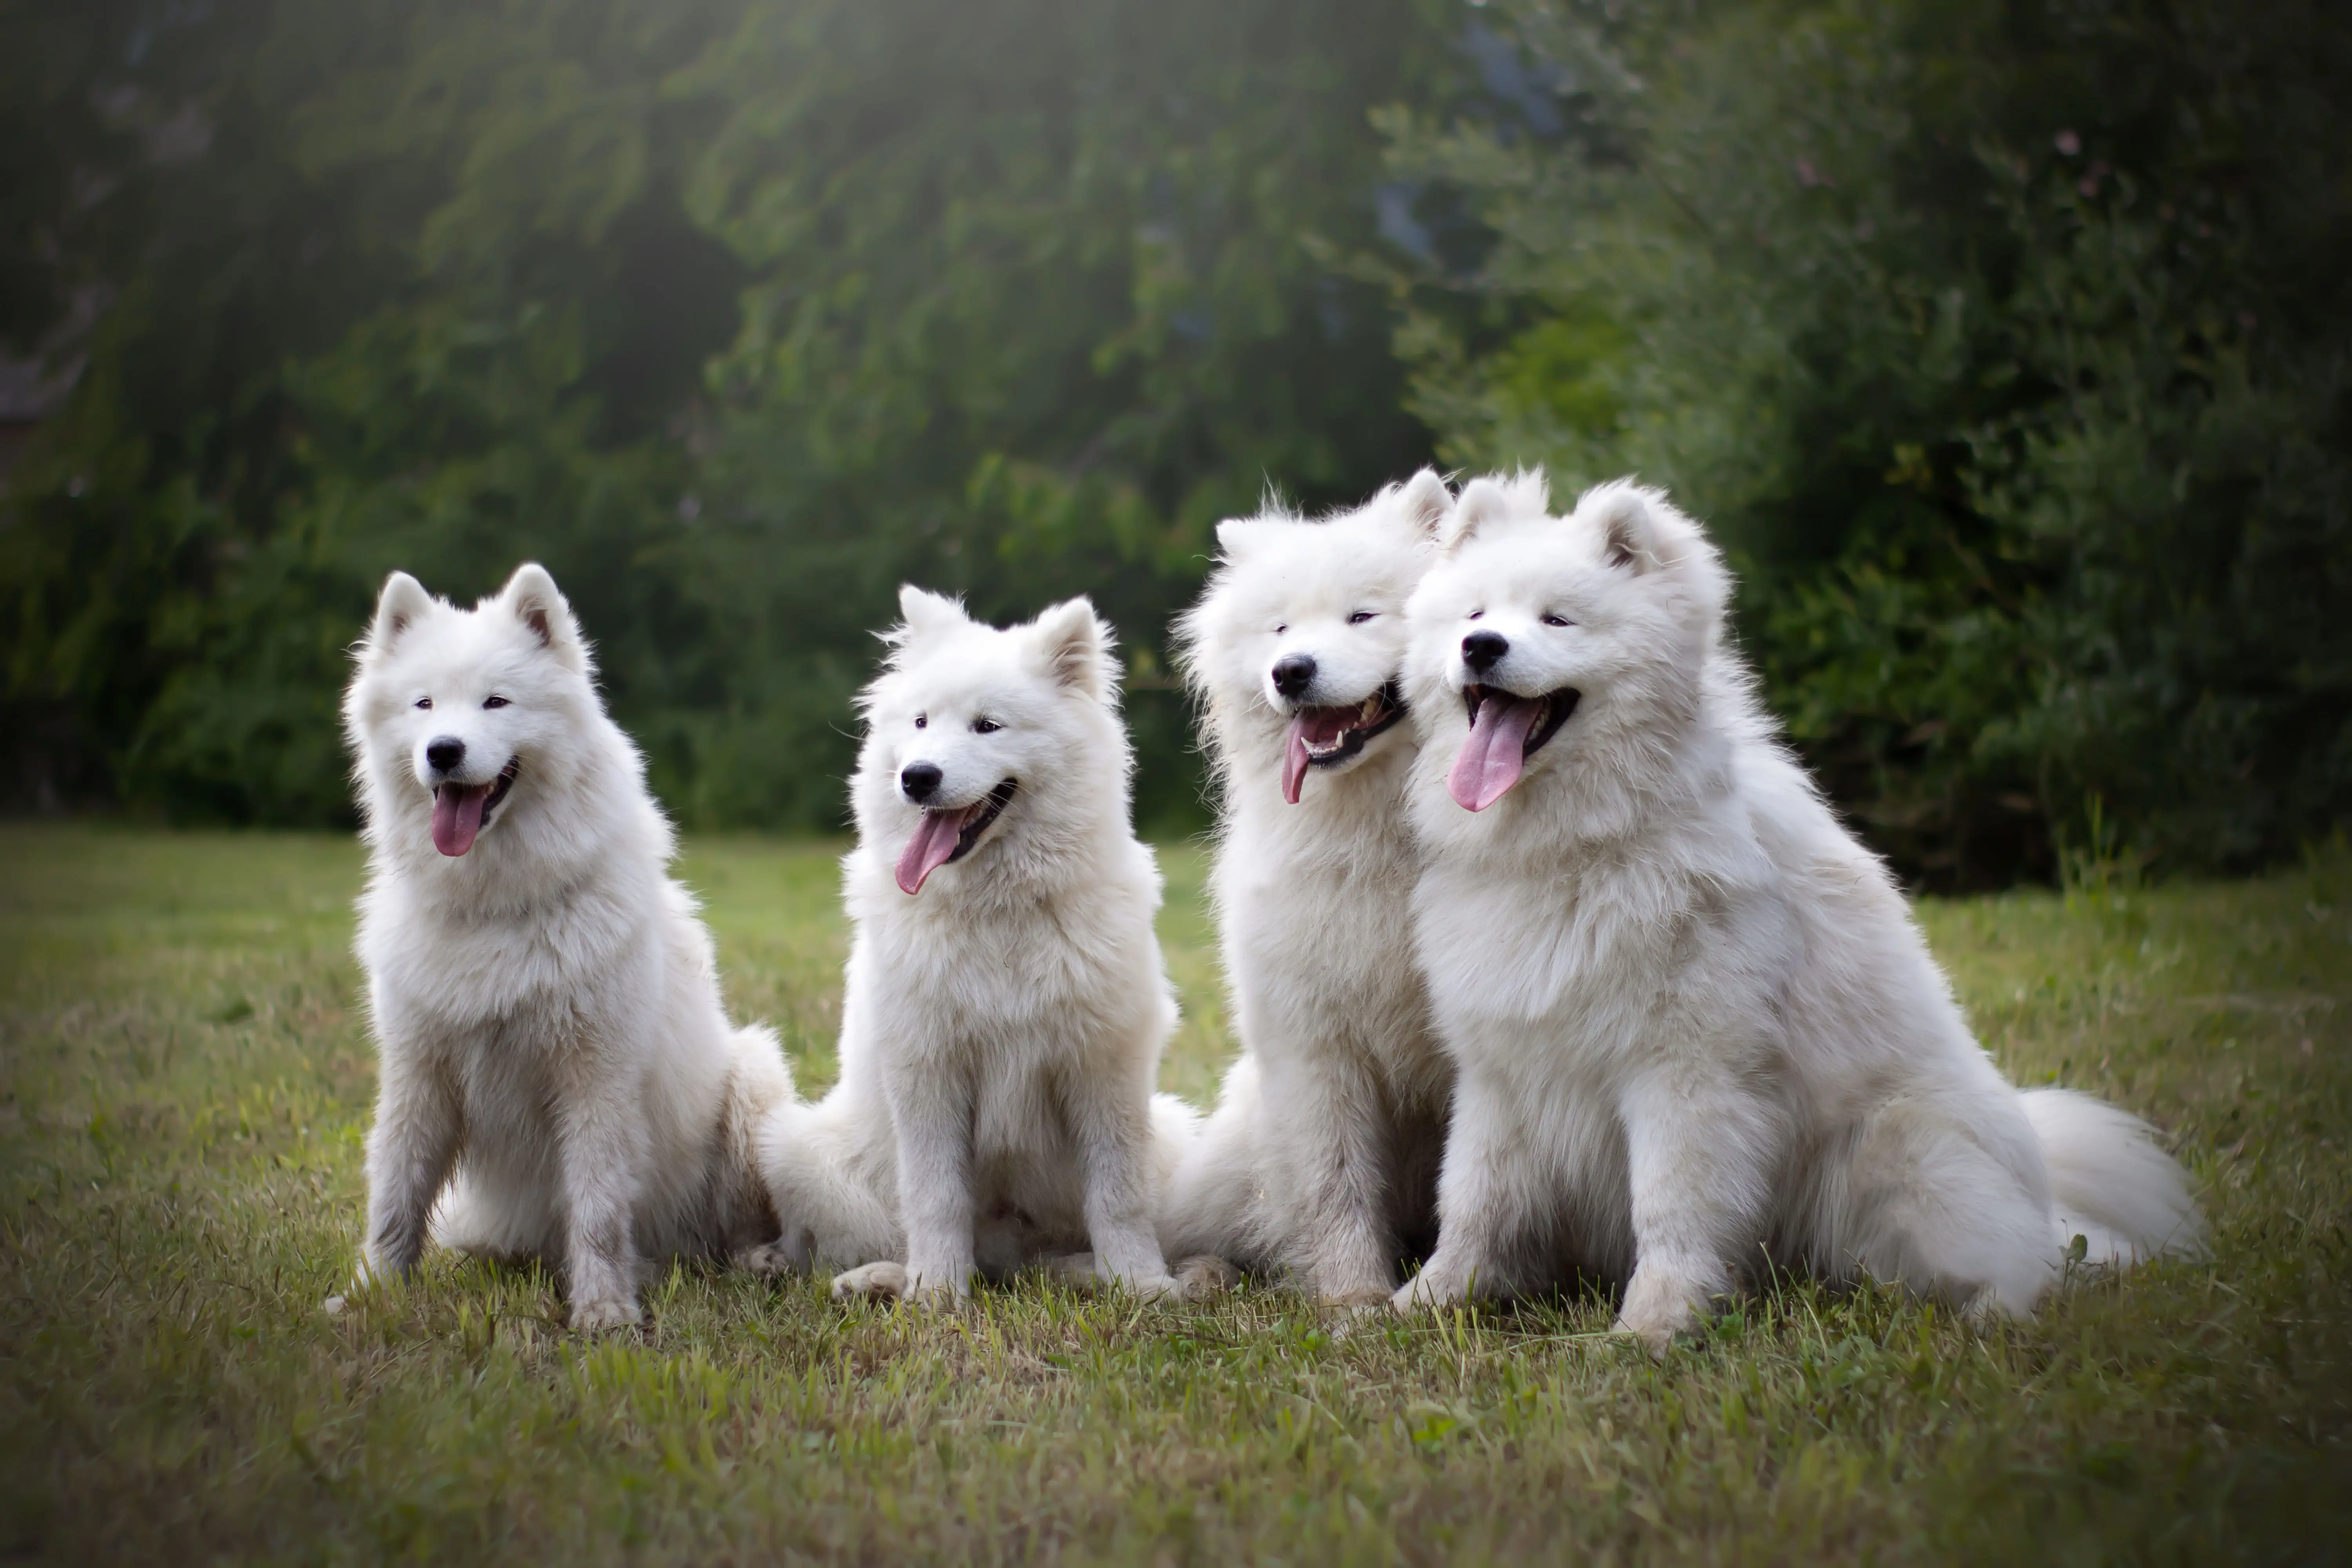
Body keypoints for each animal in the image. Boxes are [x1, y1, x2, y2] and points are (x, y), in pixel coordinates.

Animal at [343, 562, 800, 1326]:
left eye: (497, 702)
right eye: (424, 705)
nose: (443, 752)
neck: (498, 906)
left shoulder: (595, 1081)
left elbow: (597, 1209)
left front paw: (604, 1313)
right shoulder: (419, 1076)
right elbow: (396, 1196)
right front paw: (371, 1296)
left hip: (751, 1078)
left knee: (732, 1234)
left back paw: (748, 1263)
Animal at [753, 585, 1214, 1298]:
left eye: (987, 727)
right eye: (920, 723)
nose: (917, 777)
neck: (999, 910)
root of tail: (1009, 1260)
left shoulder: (1104, 1068)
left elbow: (1118, 1196)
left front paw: (1139, 1284)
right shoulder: (928, 1068)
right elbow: (935, 1196)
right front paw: (938, 1294)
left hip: (1167, 1132)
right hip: (799, 1146)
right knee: (829, 1241)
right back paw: (864, 1276)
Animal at [1162, 472, 1458, 1307]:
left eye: (1363, 614)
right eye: (1280, 628)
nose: (1290, 670)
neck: (1378, 834)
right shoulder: (1315, 1043)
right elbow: (1337, 1184)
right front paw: (1355, 1301)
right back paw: (1208, 1274)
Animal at [1383, 472, 2192, 1345]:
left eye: (1557, 619)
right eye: (1474, 615)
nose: (1482, 648)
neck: (1575, 846)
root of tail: (2042, 1192)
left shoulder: (1687, 1072)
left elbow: (1672, 1210)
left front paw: (1655, 1327)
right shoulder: (1501, 1071)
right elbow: (1474, 1202)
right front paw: (1424, 1302)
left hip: (1906, 1154)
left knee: (2029, 1266)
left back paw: (1991, 1313)